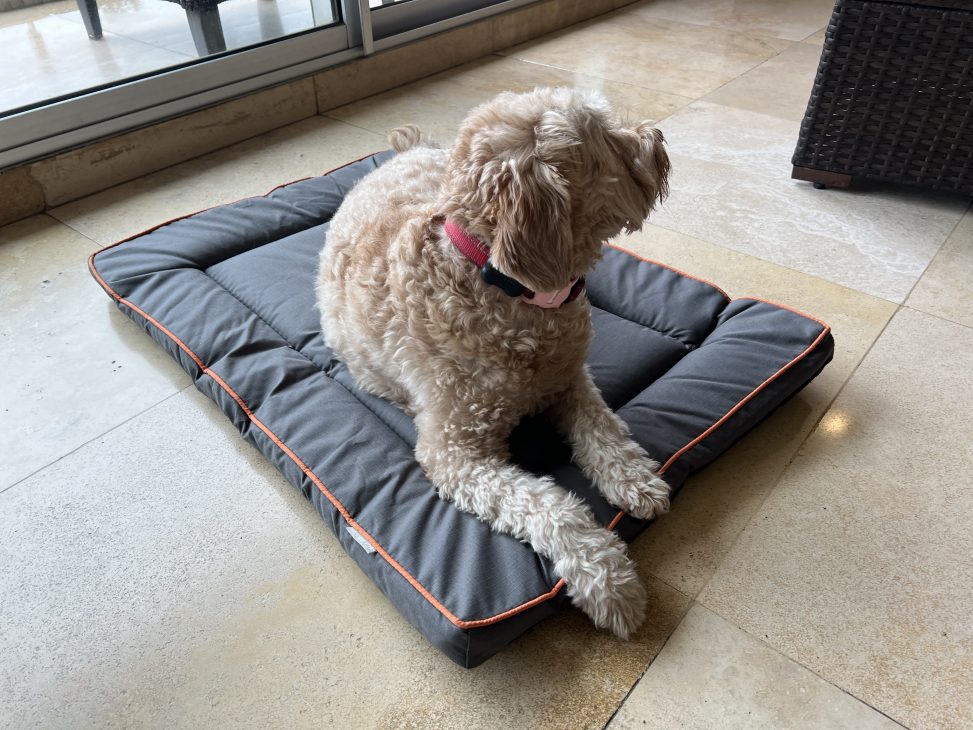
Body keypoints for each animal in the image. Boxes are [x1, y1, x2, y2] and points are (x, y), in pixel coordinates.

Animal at [317, 87, 671, 638]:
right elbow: (548, 505)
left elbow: (605, 429)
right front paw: (610, 583)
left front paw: (633, 479)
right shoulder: (456, 453)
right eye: (606, 138)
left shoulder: (571, 380)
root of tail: (406, 153)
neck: (498, 281)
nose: (657, 139)